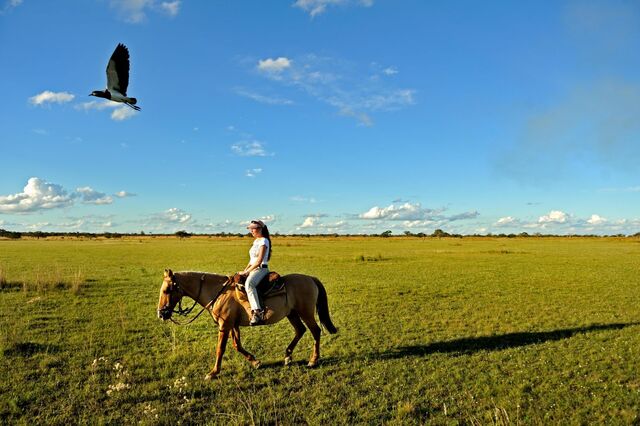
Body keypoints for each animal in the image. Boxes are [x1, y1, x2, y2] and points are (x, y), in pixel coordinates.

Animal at [158, 270, 338, 380]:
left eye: (167, 290)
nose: (161, 313)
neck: (219, 293)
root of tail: (310, 278)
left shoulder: (224, 325)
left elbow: (220, 349)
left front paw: (213, 373)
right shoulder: (232, 325)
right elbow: (237, 345)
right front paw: (255, 362)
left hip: (305, 312)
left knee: (315, 331)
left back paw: (313, 360)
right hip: (292, 313)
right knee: (300, 330)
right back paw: (287, 357)